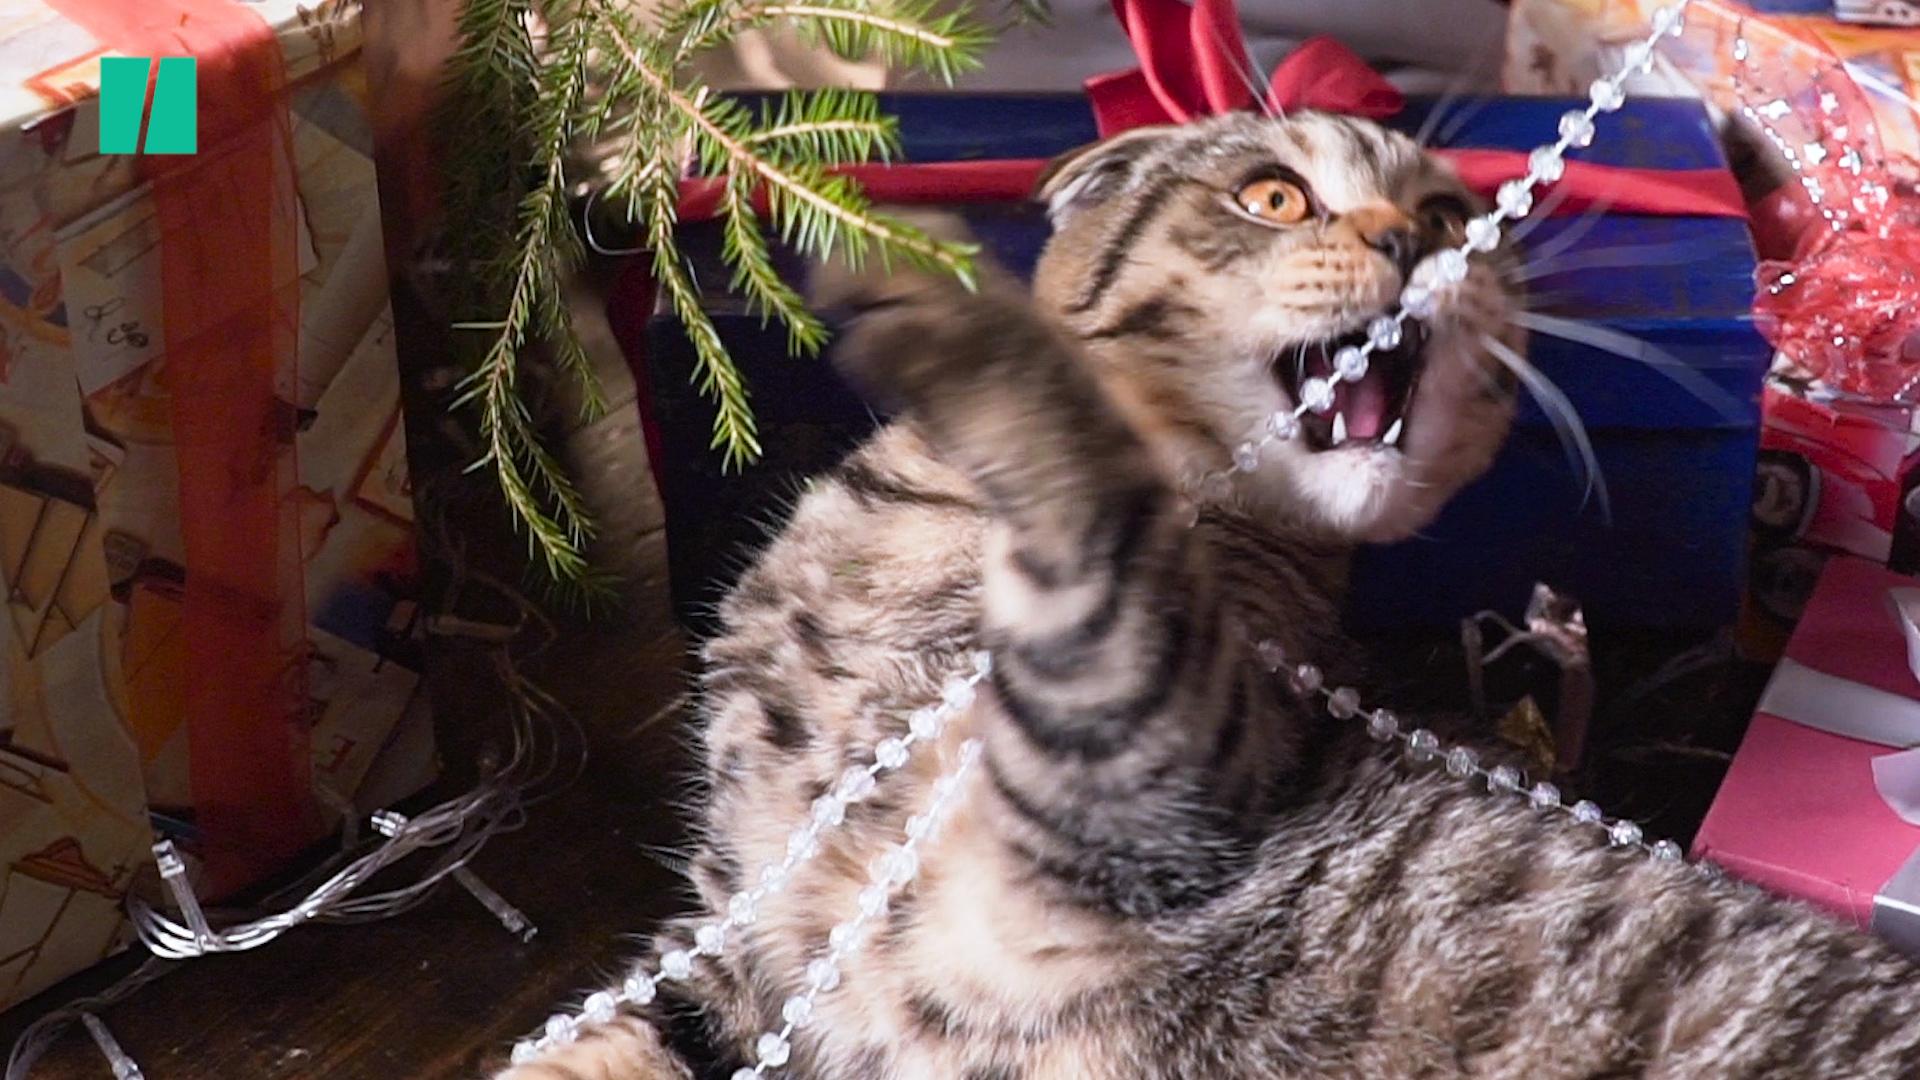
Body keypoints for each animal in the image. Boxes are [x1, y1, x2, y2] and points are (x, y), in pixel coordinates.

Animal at [503, 113, 1920, 1068]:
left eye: (1451, 216)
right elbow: (650, 1013)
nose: (1409, 241)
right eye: (1275, 196)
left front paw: (967, 327)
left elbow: (1084, 501)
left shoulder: (1141, 807)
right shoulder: (751, 918)